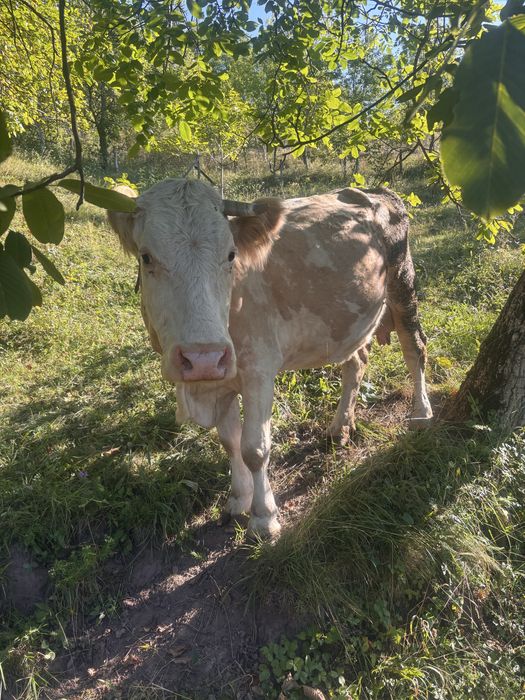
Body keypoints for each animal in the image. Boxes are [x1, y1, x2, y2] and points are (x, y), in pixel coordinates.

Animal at [108, 179, 432, 538]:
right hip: (350, 319)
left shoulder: (258, 368)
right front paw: (238, 499)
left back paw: (421, 413)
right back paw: (340, 427)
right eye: (146, 256)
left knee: (415, 349)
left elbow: (255, 447)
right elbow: (230, 441)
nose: (202, 356)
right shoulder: (222, 374)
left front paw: (264, 518)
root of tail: (379, 192)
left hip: (403, 284)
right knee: (356, 361)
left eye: (230, 255)